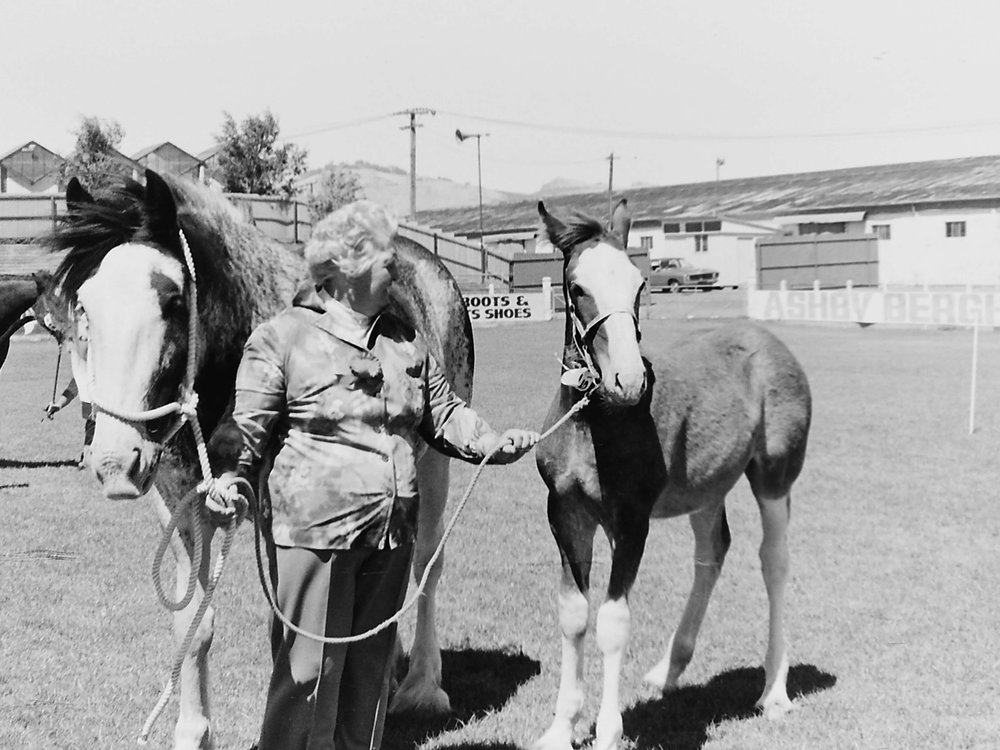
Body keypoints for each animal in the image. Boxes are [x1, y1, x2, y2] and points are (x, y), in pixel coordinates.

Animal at [47, 169, 473, 749]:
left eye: (172, 300)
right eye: (83, 306)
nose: (116, 462)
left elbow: (297, 629)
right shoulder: (185, 506)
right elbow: (194, 623)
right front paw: (193, 732)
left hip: (433, 467)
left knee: (427, 567)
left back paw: (423, 687)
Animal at [532, 200, 812, 750]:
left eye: (640, 284)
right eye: (577, 288)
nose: (629, 379)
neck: (595, 420)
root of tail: (768, 340)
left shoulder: (630, 520)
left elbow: (612, 620)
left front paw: (608, 730)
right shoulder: (565, 514)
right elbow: (573, 614)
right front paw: (559, 728)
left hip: (774, 476)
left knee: (774, 561)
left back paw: (774, 690)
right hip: (707, 487)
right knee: (712, 553)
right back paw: (668, 670)